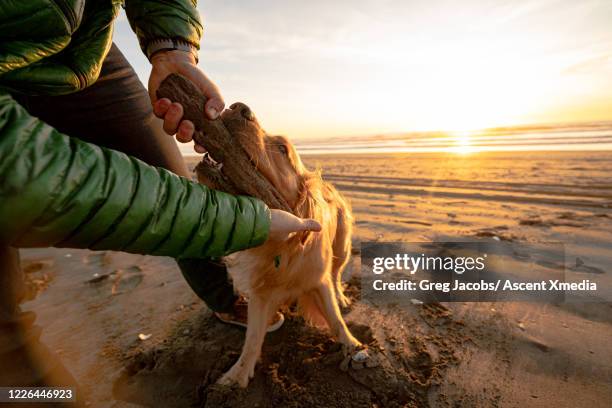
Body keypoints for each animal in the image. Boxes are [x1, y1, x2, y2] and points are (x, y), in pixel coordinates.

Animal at [198, 103, 368, 388]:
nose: (238, 107)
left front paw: (353, 345)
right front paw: (237, 374)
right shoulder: (259, 292)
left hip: (342, 248)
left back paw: (342, 297)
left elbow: (335, 319)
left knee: (336, 274)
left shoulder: (318, 279)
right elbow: (252, 338)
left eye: (281, 149)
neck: (282, 248)